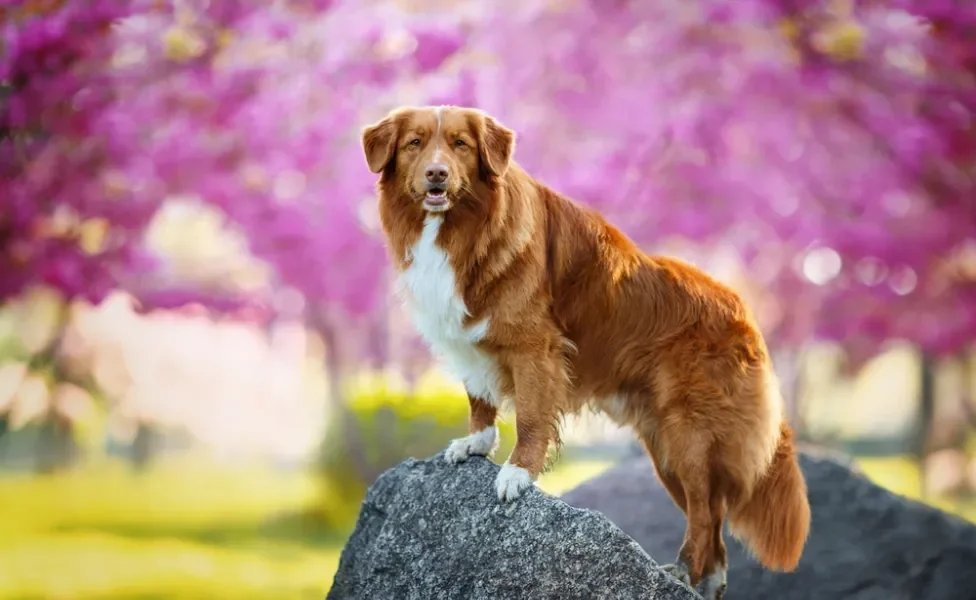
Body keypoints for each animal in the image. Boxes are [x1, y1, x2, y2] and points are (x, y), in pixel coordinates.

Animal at [358, 105, 808, 596]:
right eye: (414, 144)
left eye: (461, 144)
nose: (437, 175)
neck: (459, 229)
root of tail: (744, 313)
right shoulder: (466, 337)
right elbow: (478, 393)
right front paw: (476, 441)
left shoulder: (534, 346)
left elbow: (531, 416)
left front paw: (517, 472)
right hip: (665, 450)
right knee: (711, 517)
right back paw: (699, 582)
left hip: (689, 433)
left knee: (706, 514)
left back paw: (681, 572)